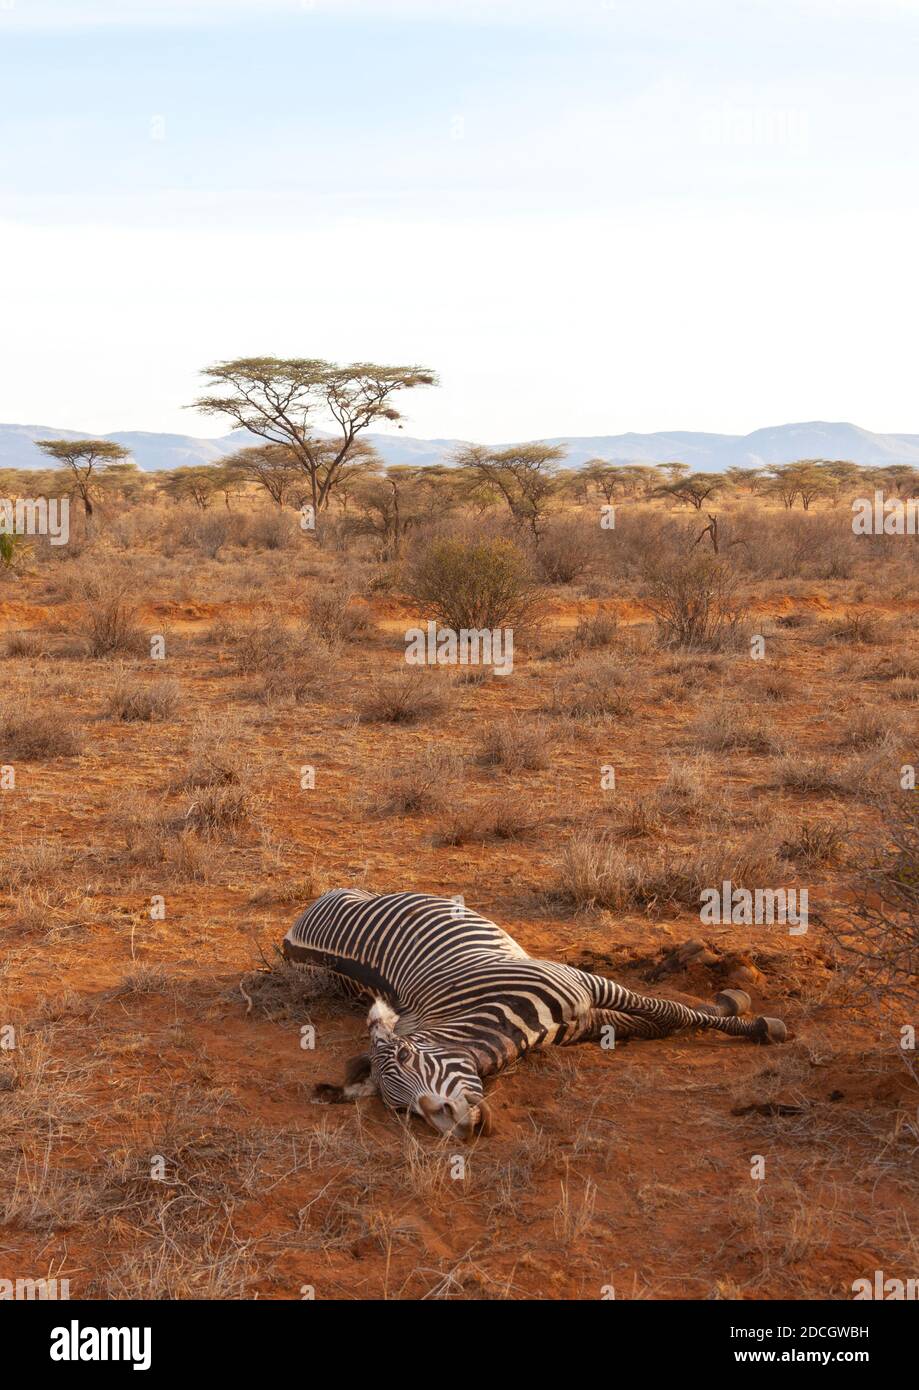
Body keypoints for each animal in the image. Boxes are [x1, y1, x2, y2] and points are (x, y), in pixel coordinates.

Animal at [282, 888, 788, 1139]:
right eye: (401, 1110)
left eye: (407, 1057)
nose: (454, 1125)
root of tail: (297, 926)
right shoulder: (585, 1019)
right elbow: (655, 1023)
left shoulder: (584, 986)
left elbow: (669, 1012)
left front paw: (750, 1019)